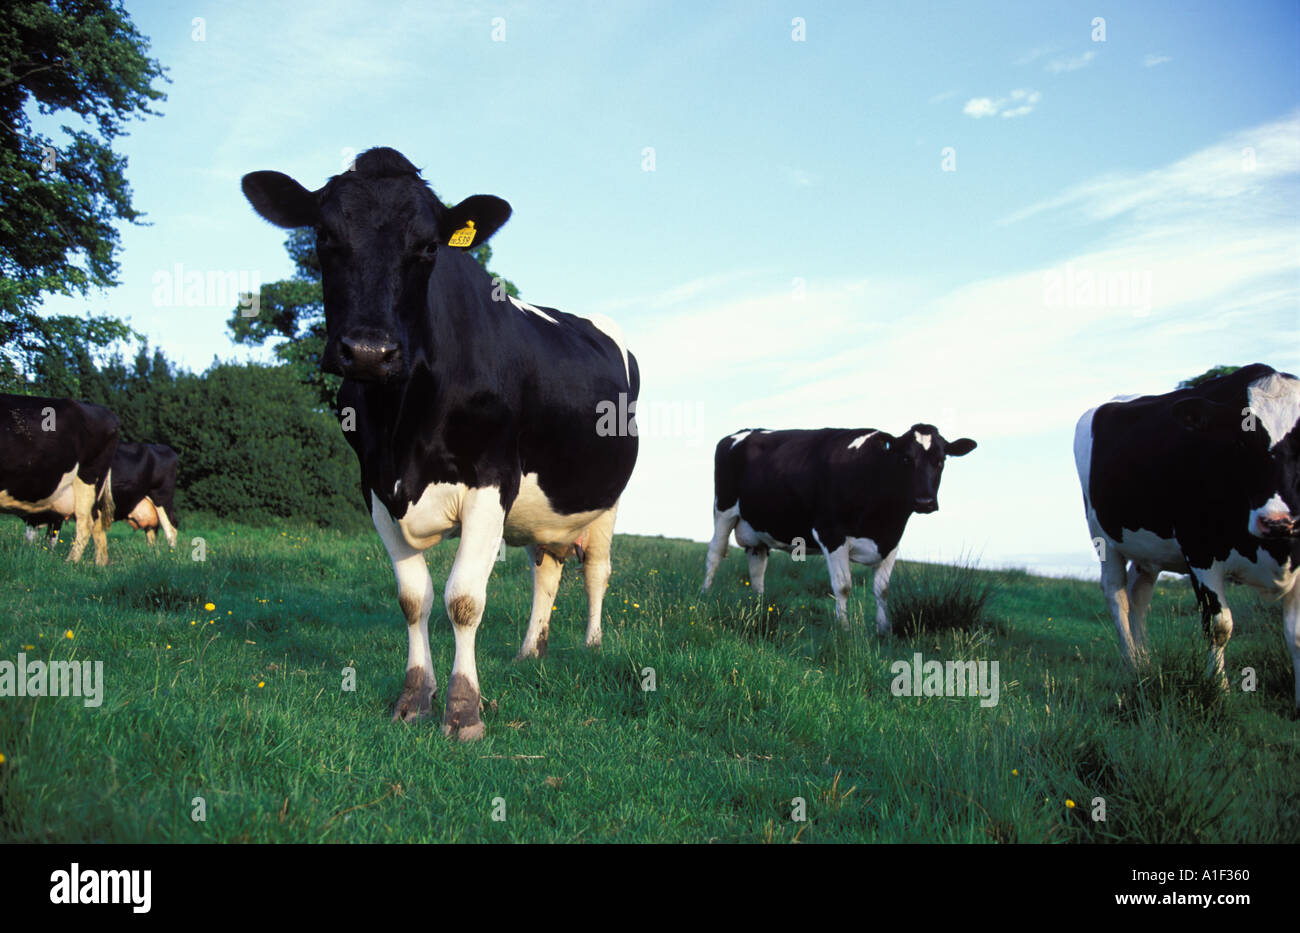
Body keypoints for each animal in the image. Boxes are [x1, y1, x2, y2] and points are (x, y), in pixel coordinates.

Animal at [243, 148, 639, 743]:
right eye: (324, 235)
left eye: (429, 247)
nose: (369, 351)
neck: (402, 423)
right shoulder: (375, 487)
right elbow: (414, 599)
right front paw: (413, 698)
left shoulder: (493, 480)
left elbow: (464, 599)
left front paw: (464, 711)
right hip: (542, 511)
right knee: (545, 570)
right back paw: (530, 653)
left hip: (606, 499)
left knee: (597, 569)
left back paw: (591, 647)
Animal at [702, 428, 977, 631]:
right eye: (906, 459)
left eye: (940, 461)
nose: (925, 502)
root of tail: (742, 432)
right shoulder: (831, 534)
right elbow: (843, 586)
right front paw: (843, 628)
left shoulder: (892, 542)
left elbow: (883, 590)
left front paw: (883, 629)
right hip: (723, 510)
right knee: (714, 553)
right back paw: (704, 593)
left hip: (758, 526)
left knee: (757, 566)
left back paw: (759, 605)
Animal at [1076, 366, 1300, 706]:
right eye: (1240, 443)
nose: (1277, 522)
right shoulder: (1200, 550)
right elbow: (1219, 625)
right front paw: (1219, 691)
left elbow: (1296, 634)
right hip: (1103, 537)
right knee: (1117, 595)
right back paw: (1132, 663)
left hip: (1149, 550)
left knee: (1139, 594)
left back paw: (1145, 662)